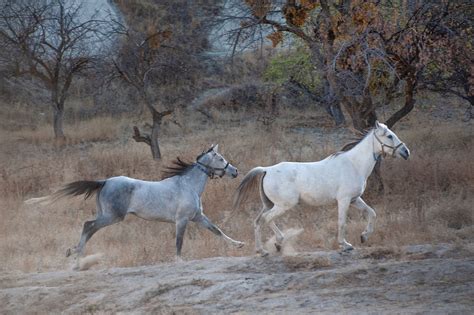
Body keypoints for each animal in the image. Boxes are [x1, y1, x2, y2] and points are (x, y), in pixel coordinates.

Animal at [32, 144, 243, 260]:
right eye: (221, 158)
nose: (235, 171)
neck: (188, 185)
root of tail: (105, 181)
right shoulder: (182, 220)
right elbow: (179, 242)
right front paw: (178, 260)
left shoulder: (198, 217)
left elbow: (217, 230)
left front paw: (239, 244)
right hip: (112, 216)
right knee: (88, 225)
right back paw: (77, 252)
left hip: (106, 215)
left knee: (90, 228)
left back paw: (76, 252)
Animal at [235, 122, 410, 256]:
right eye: (389, 136)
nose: (406, 152)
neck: (354, 164)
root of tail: (266, 170)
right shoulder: (344, 200)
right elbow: (342, 222)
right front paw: (345, 245)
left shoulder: (355, 199)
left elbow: (372, 213)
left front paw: (364, 237)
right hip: (284, 205)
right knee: (266, 219)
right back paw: (271, 246)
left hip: (270, 204)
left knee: (259, 221)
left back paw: (266, 248)